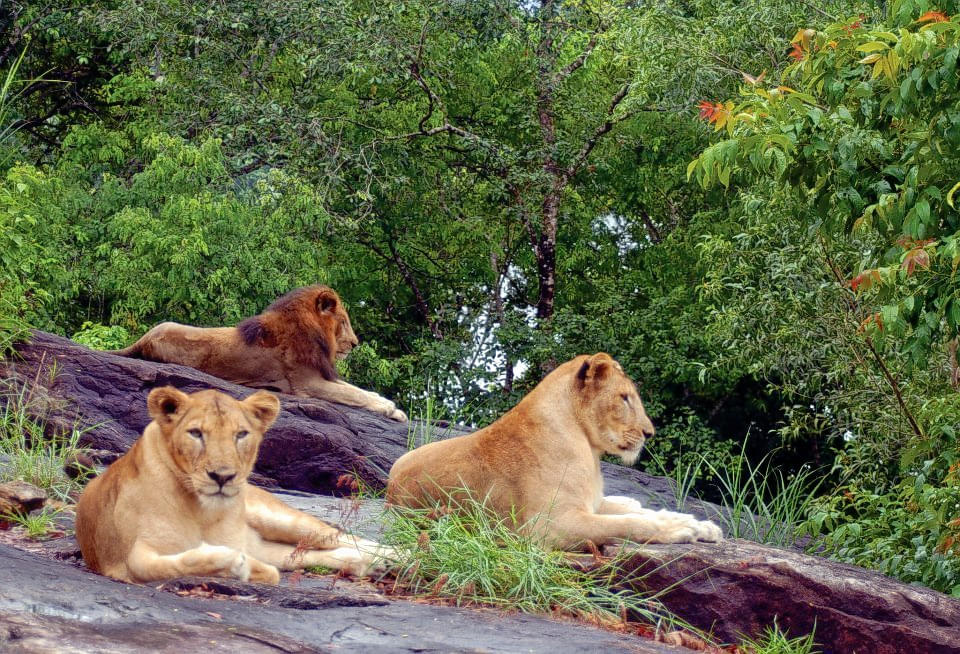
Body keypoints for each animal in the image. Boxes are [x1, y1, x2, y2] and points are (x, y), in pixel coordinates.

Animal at [77, 386, 394, 588]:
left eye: (241, 434)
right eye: (196, 433)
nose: (222, 476)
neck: (201, 510)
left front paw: (239, 565)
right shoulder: (127, 557)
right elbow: (160, 566)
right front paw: (233, 564)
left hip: (277, 517)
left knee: (340, 537)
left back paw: (394, 557)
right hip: (269, 544)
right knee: (310, 552)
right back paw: (366, 564)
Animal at [112, 284, 404, 422]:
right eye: (343, 321)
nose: (355, 343)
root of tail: (144, 339)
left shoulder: (321, 374)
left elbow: (359, 391)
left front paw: (394, 409)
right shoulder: (306, 383)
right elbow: (353, 394)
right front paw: (388, 408)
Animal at [382, 356, 720, 552]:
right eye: (624, 398)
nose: (650, 433)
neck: (589, 450)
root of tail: (389, 490)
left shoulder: (588, 503)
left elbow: (644, 514)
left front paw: (704, 526)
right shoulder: (548, 527)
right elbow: (630, 524)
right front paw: (682, 529)